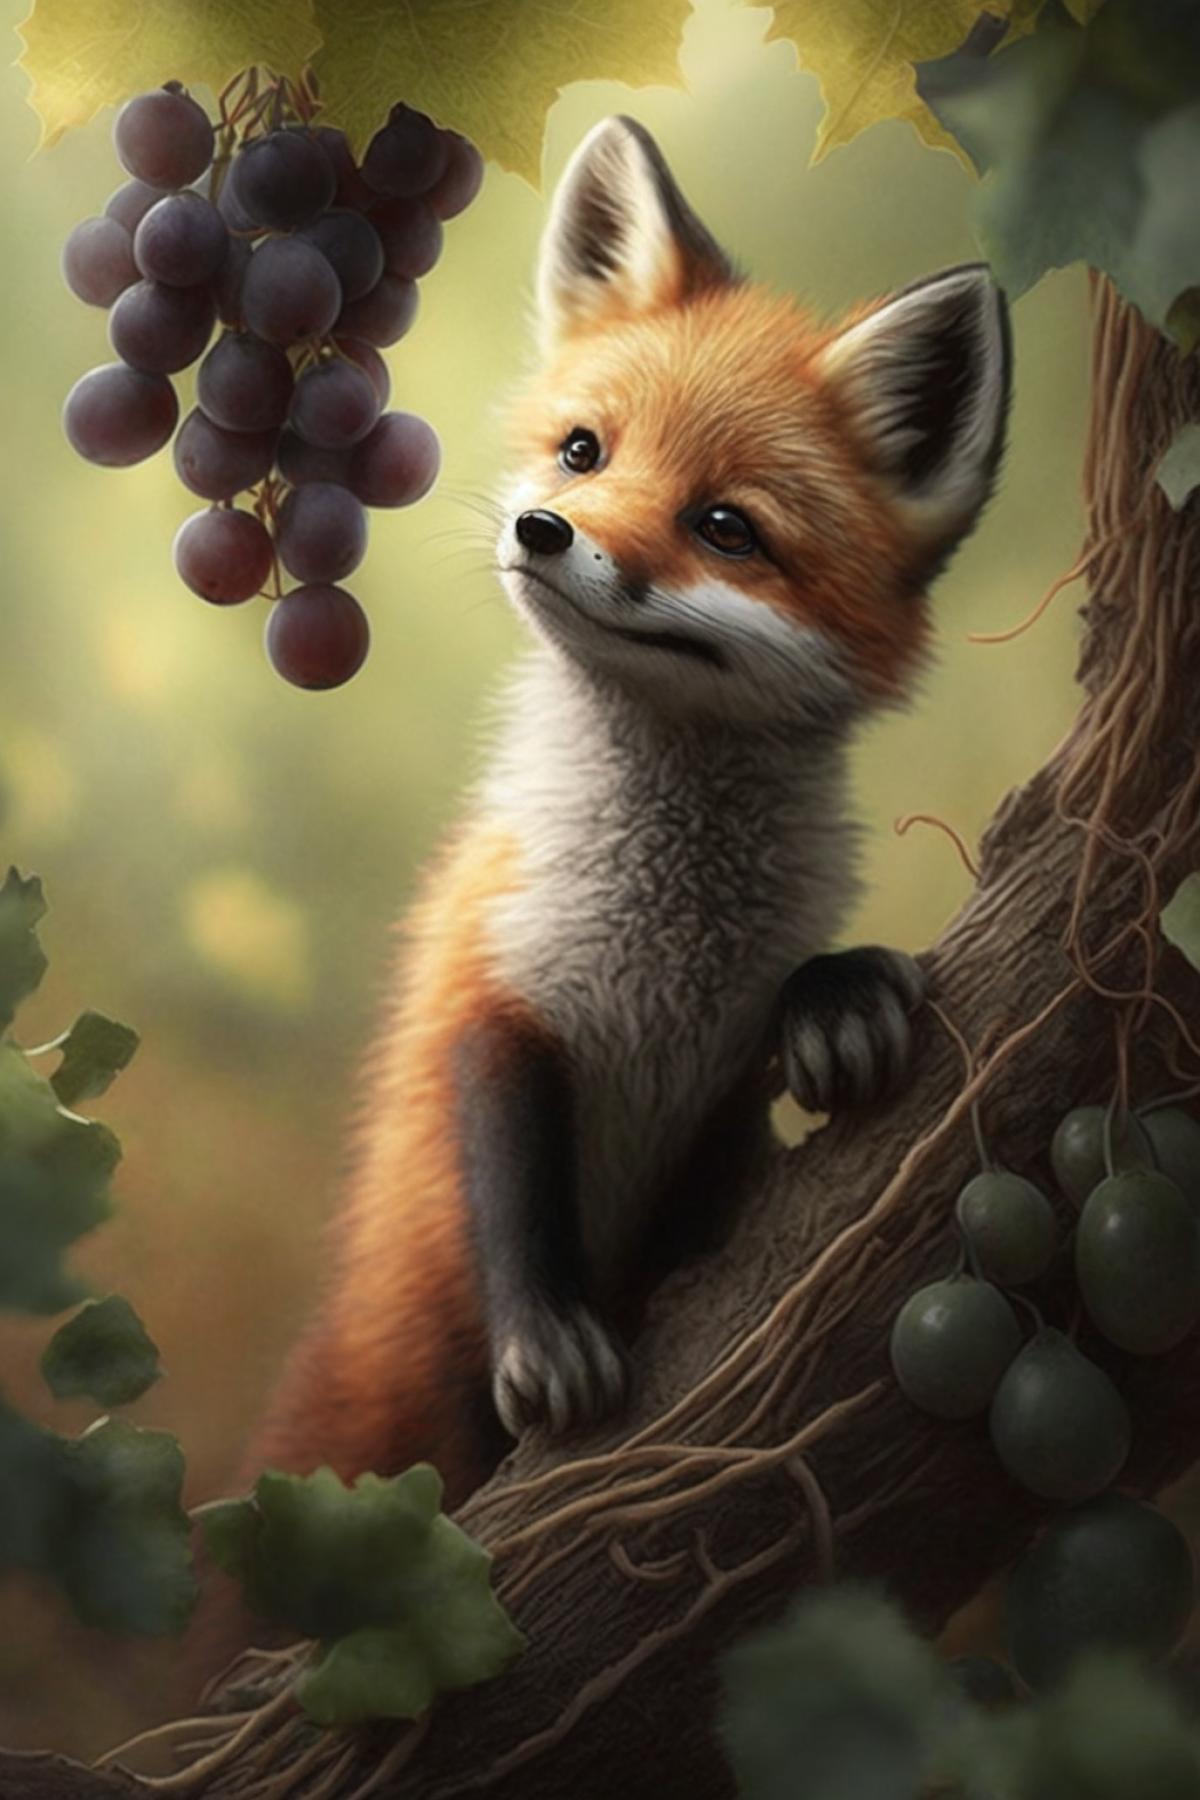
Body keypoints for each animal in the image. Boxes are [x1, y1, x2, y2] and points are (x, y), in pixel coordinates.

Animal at [236, 115, 1012, 1523]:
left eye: (727, 527)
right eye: (584, 449)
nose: (547, 529)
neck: (668, 957)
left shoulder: (715, 1109)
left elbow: (786, 1040)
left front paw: (842, 998)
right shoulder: (493, 986)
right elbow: (507, 1181)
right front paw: (546, 1339)